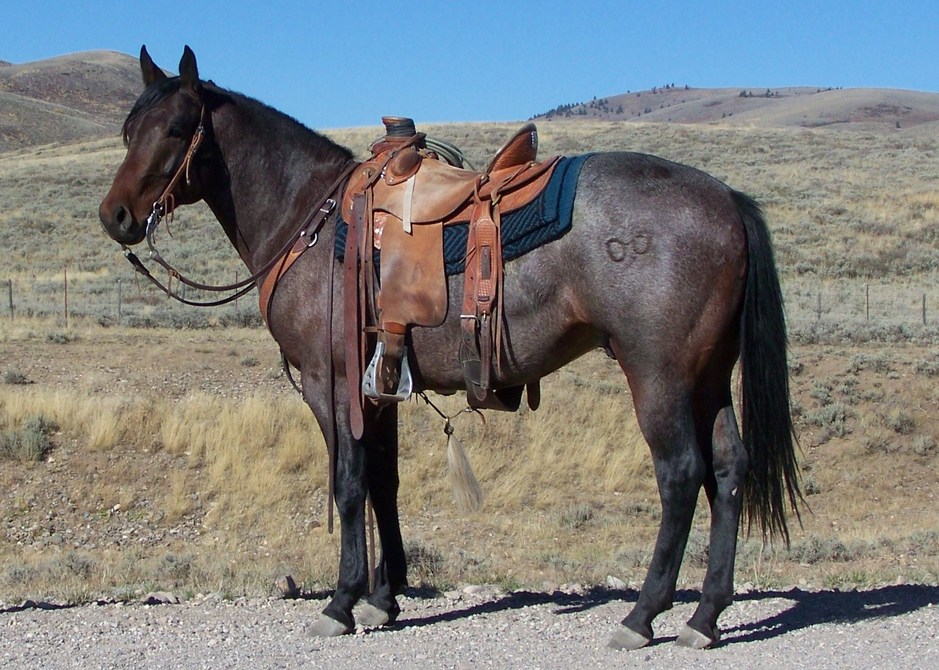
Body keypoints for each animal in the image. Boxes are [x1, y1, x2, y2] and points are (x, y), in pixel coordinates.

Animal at [97, 46, 800, 652]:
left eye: (177, 127)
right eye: (130, 127)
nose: (116, 216)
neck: (309, 218)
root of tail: (726, 201)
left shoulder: (333, 384)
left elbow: (348, 484)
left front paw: (342, 603)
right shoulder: (377, 388)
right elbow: (383, 483)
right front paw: (383, 599)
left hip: (658, 375)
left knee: (681, 475)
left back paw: (643, 615)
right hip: (707, 377)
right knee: (729, 471)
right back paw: (704, 617)